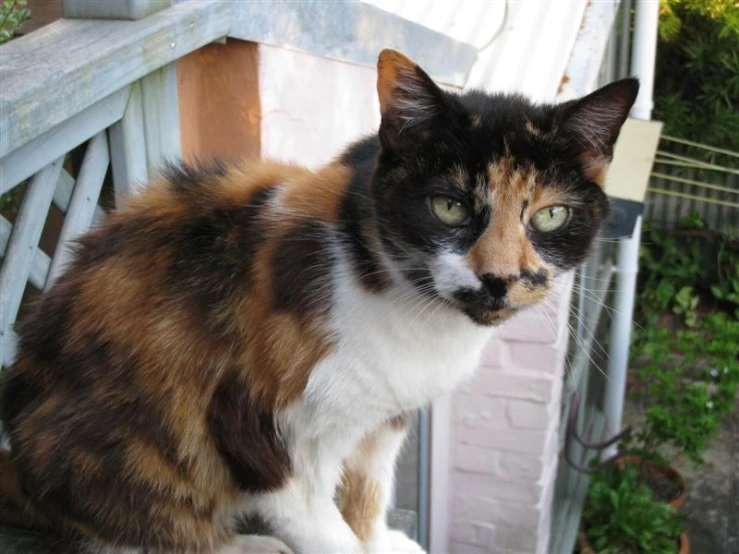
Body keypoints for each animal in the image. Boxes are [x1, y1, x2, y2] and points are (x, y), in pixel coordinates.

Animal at [0, 48, 636, 552]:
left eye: (550, 215)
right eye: (449, 206)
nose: (500, 277)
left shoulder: (385, 416)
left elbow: (371, 490)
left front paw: (380, 540)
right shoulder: (255, 423)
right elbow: (320, 526)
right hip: (113, 450)